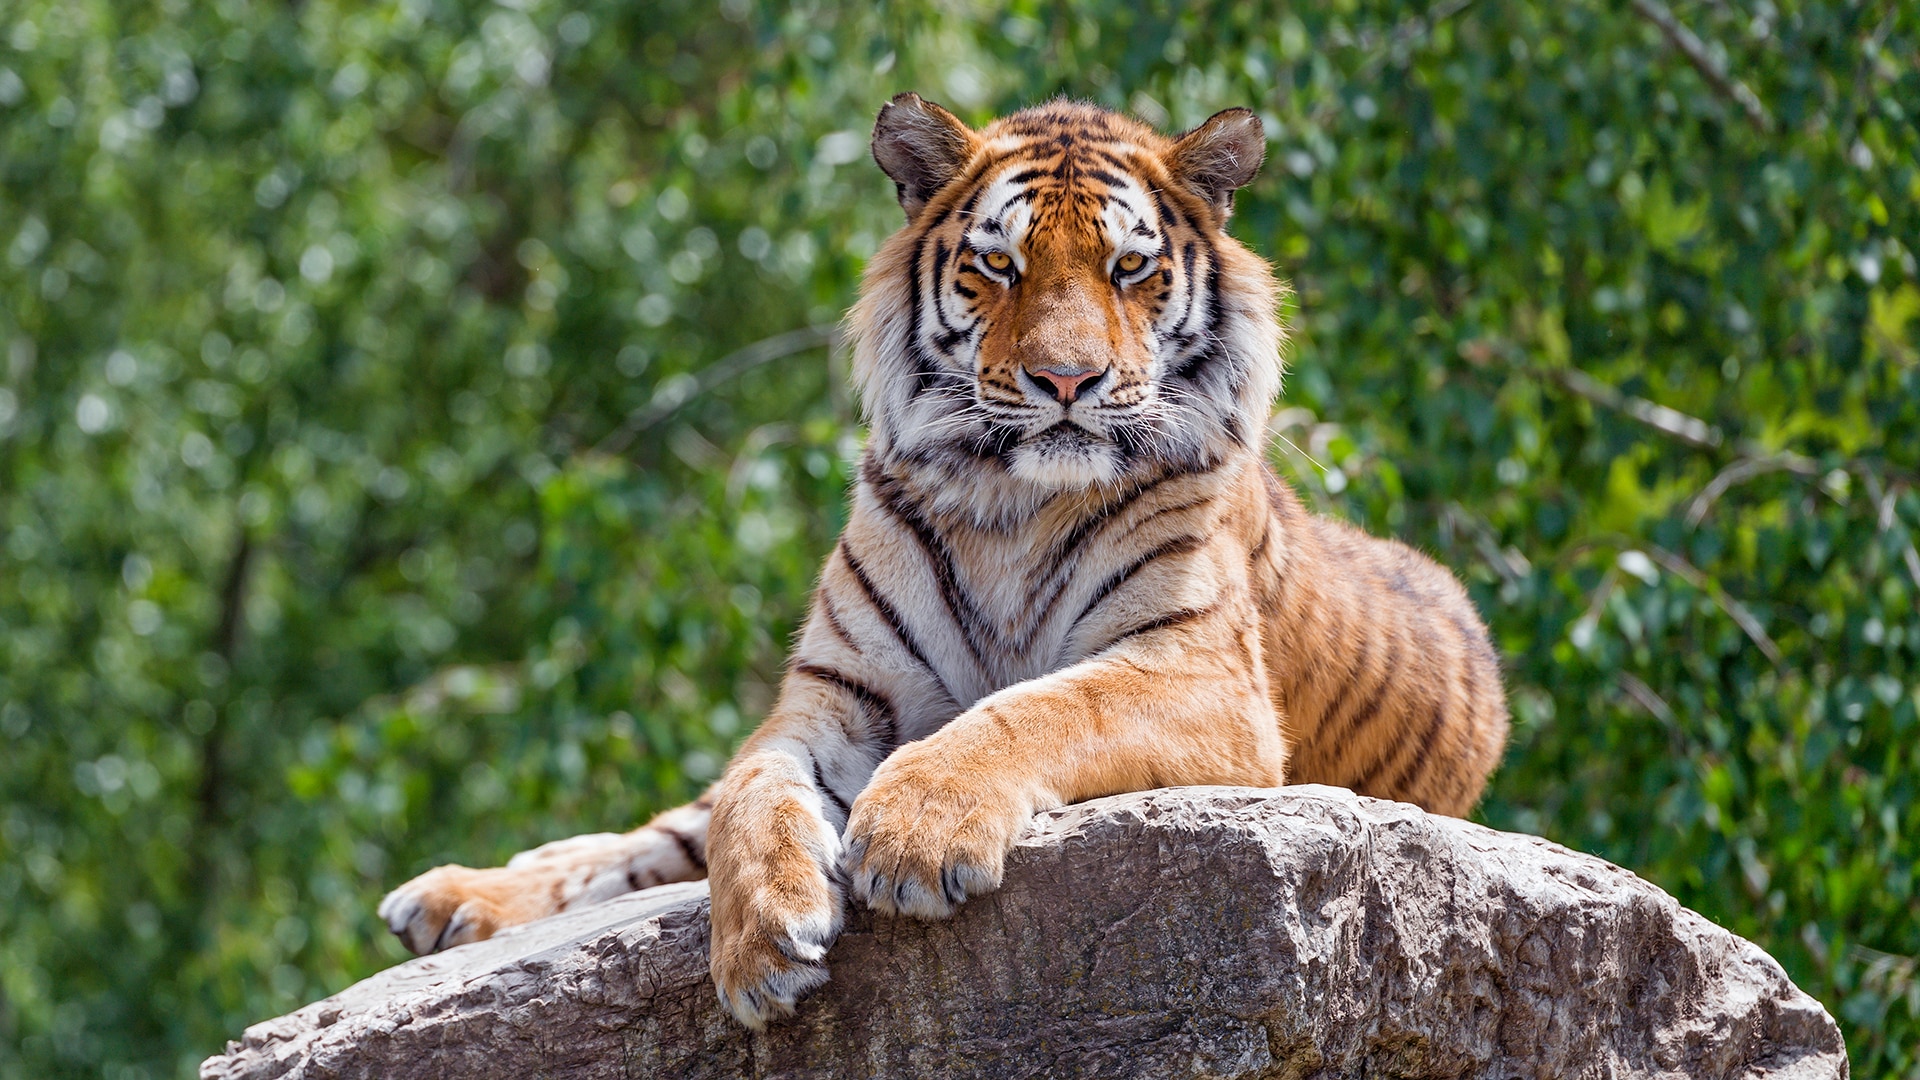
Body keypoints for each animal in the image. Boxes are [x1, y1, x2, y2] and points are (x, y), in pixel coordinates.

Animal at [378, 92, 1512, 1022]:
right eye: (999, 264)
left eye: (1130, 269)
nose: (1067, 381)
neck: (1010, 503)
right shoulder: (831, 696)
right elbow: (752, 793)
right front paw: (759, 944)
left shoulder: (1198, 675)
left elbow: (1038, 707)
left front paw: (914, 834)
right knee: (655, 838)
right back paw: (450, 899)